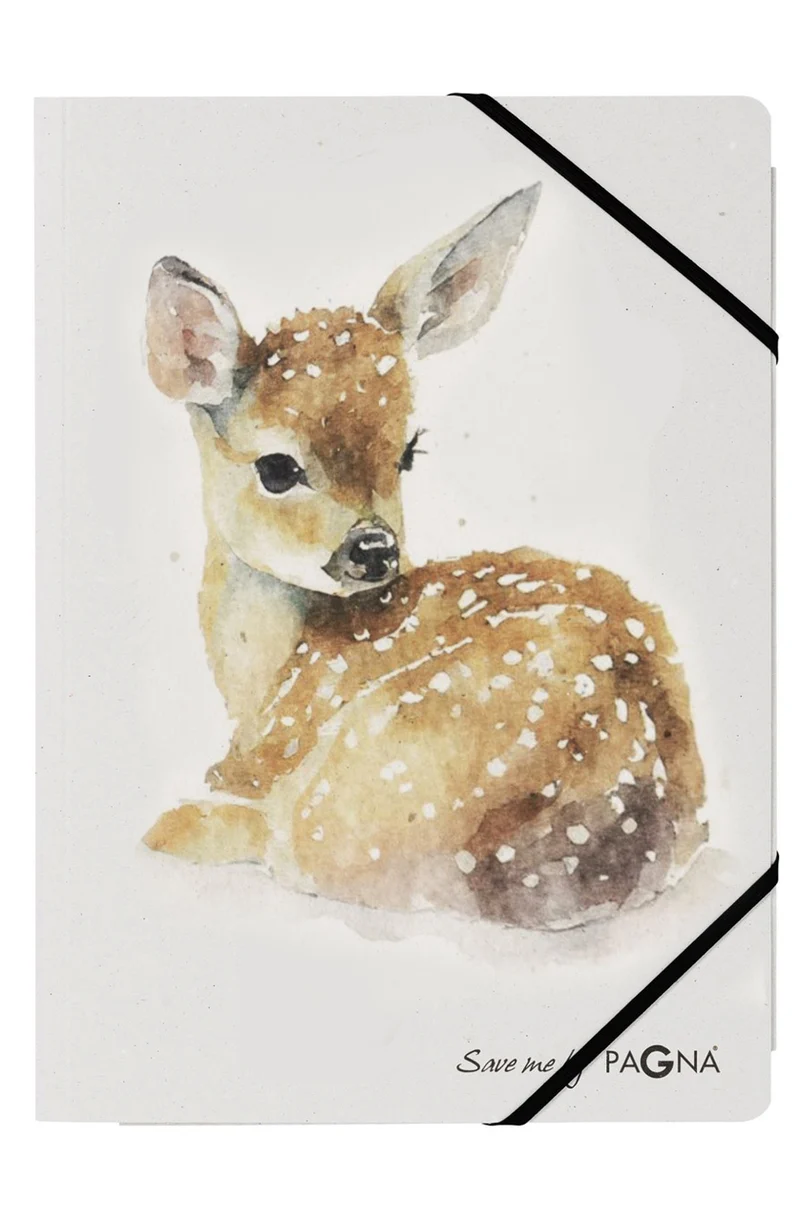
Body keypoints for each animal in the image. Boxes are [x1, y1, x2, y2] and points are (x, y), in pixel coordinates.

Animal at [142, 183, 707, 930]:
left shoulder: (277, 753)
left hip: (361, 777)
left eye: (410, 450)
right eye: (277, 467)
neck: (264, 680)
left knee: (259, 837)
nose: (374, 548)